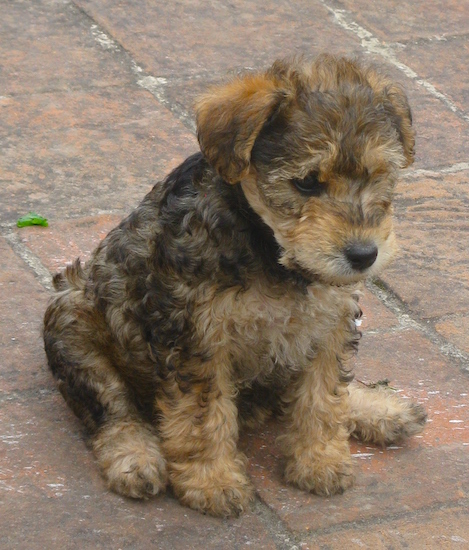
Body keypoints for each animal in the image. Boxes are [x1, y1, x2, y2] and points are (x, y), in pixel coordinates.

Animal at [45, 55, 426, 516]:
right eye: (306, 182)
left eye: (377, 175)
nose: (364, 254)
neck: (271, 252)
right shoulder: (197, 339)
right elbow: (203, 416)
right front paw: (213, 481)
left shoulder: (330, 324)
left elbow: (324, 395)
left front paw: (320, 459)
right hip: (73, 321)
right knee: (113, 410)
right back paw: (136, 459)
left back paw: (381, 409)